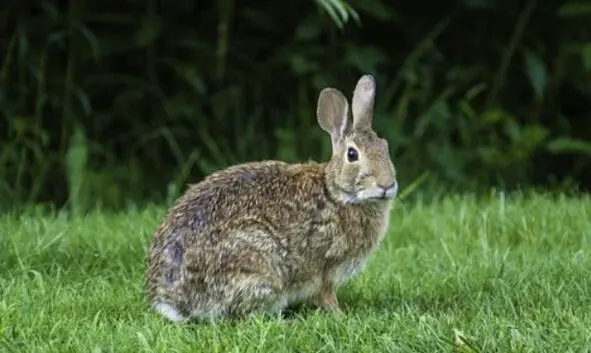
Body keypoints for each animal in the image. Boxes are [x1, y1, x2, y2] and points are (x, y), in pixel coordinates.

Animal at [146, 74, 400, 322]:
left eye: (385, 147)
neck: (336, 192)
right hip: (256, 262)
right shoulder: (325, 268)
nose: (387, 185)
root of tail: (169, 301)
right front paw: (340, 314)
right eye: (352, 154)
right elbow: (325, 294)